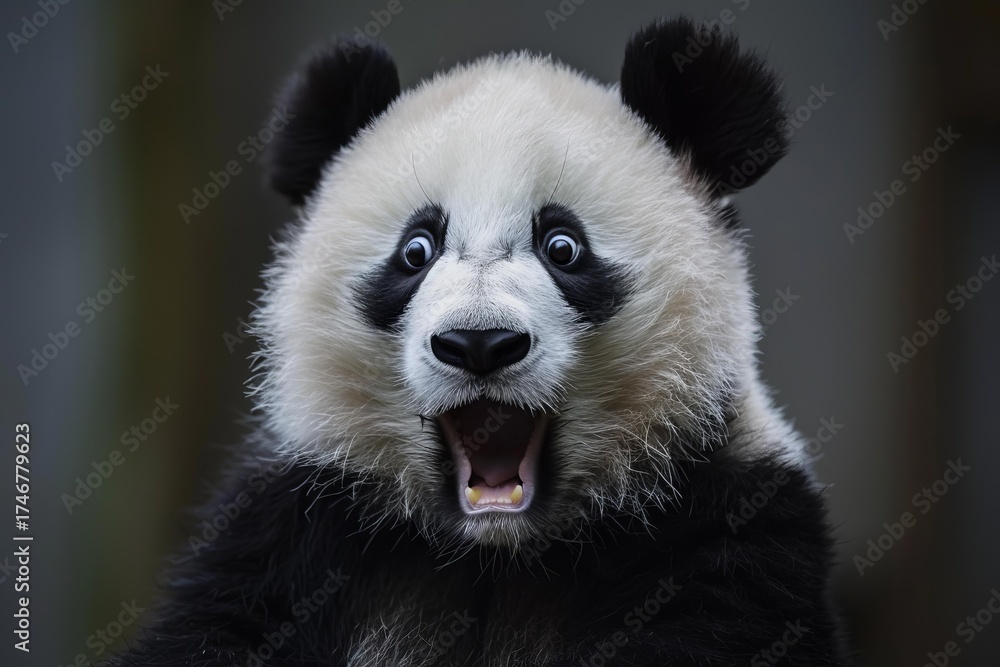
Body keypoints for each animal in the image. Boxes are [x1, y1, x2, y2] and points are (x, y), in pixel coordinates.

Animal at [112, 17, 846, 667]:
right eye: (416, 250)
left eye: (563, 246)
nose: (479, 342)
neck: (495, 551)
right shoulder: (292, 532)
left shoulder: (729, 524)